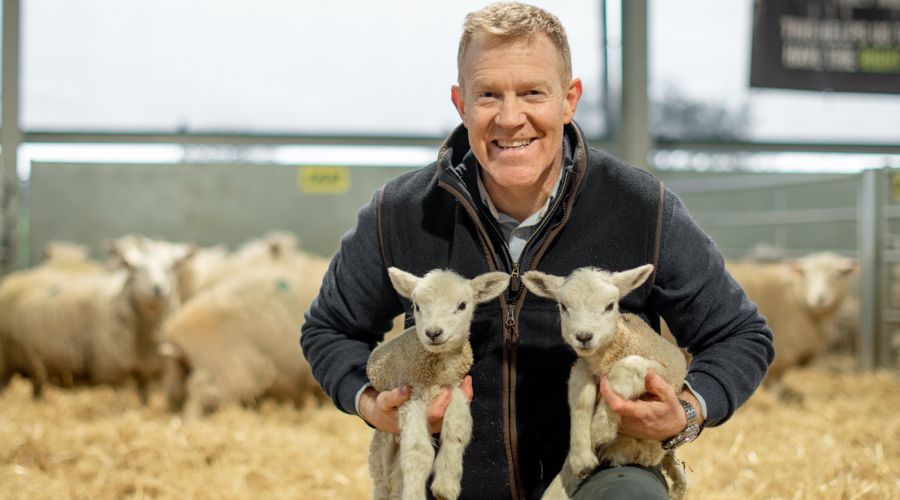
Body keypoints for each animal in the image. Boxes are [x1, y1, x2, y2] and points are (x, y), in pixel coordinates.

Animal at [0, 235, 192, 401]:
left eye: (169, 268)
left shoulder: (146, 370)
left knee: (37, 383)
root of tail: (13, 277)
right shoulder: (113, 368)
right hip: (5, 360)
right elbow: (119, 399)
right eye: (136, 269)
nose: (157, 288)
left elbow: (144, 397)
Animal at [366, 267, 509, 500]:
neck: (437, 370)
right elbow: (418, 451)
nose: (433, 333)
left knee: (396, 479)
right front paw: (415, 495)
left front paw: (446, 485)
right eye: (416, 306)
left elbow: (457, 431)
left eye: (462, 305)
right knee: (382, 480)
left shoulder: (454, 388)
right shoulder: (410, 395)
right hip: (383, 439)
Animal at [522, 264, 687, 500]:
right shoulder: (582, 367)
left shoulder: (663, 371)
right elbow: (581, 399)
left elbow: (628, 366)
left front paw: (601, 426)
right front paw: (581, 456)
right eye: (563, 306)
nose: (583, 336)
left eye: (610, 306)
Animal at [725, 251, 858, 395]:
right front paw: (775, 396)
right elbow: (775, 382)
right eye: (806, 274)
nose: (819, 299)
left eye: (837, 275)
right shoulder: (782, 348)